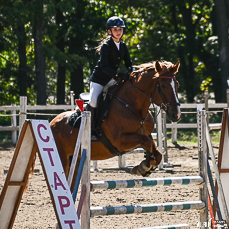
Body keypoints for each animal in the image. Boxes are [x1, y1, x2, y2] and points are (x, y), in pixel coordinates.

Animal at [49, 60, 181, 190]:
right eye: (162, 86)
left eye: (177, 85)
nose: (176, 115)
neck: (132, 106)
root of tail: (52, 122)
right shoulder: (120, 141)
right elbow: (146, 142)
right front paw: (144, 166)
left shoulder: (146, 134)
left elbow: (157, 153)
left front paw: (146, 165)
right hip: (62, 159)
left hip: (76, 159)